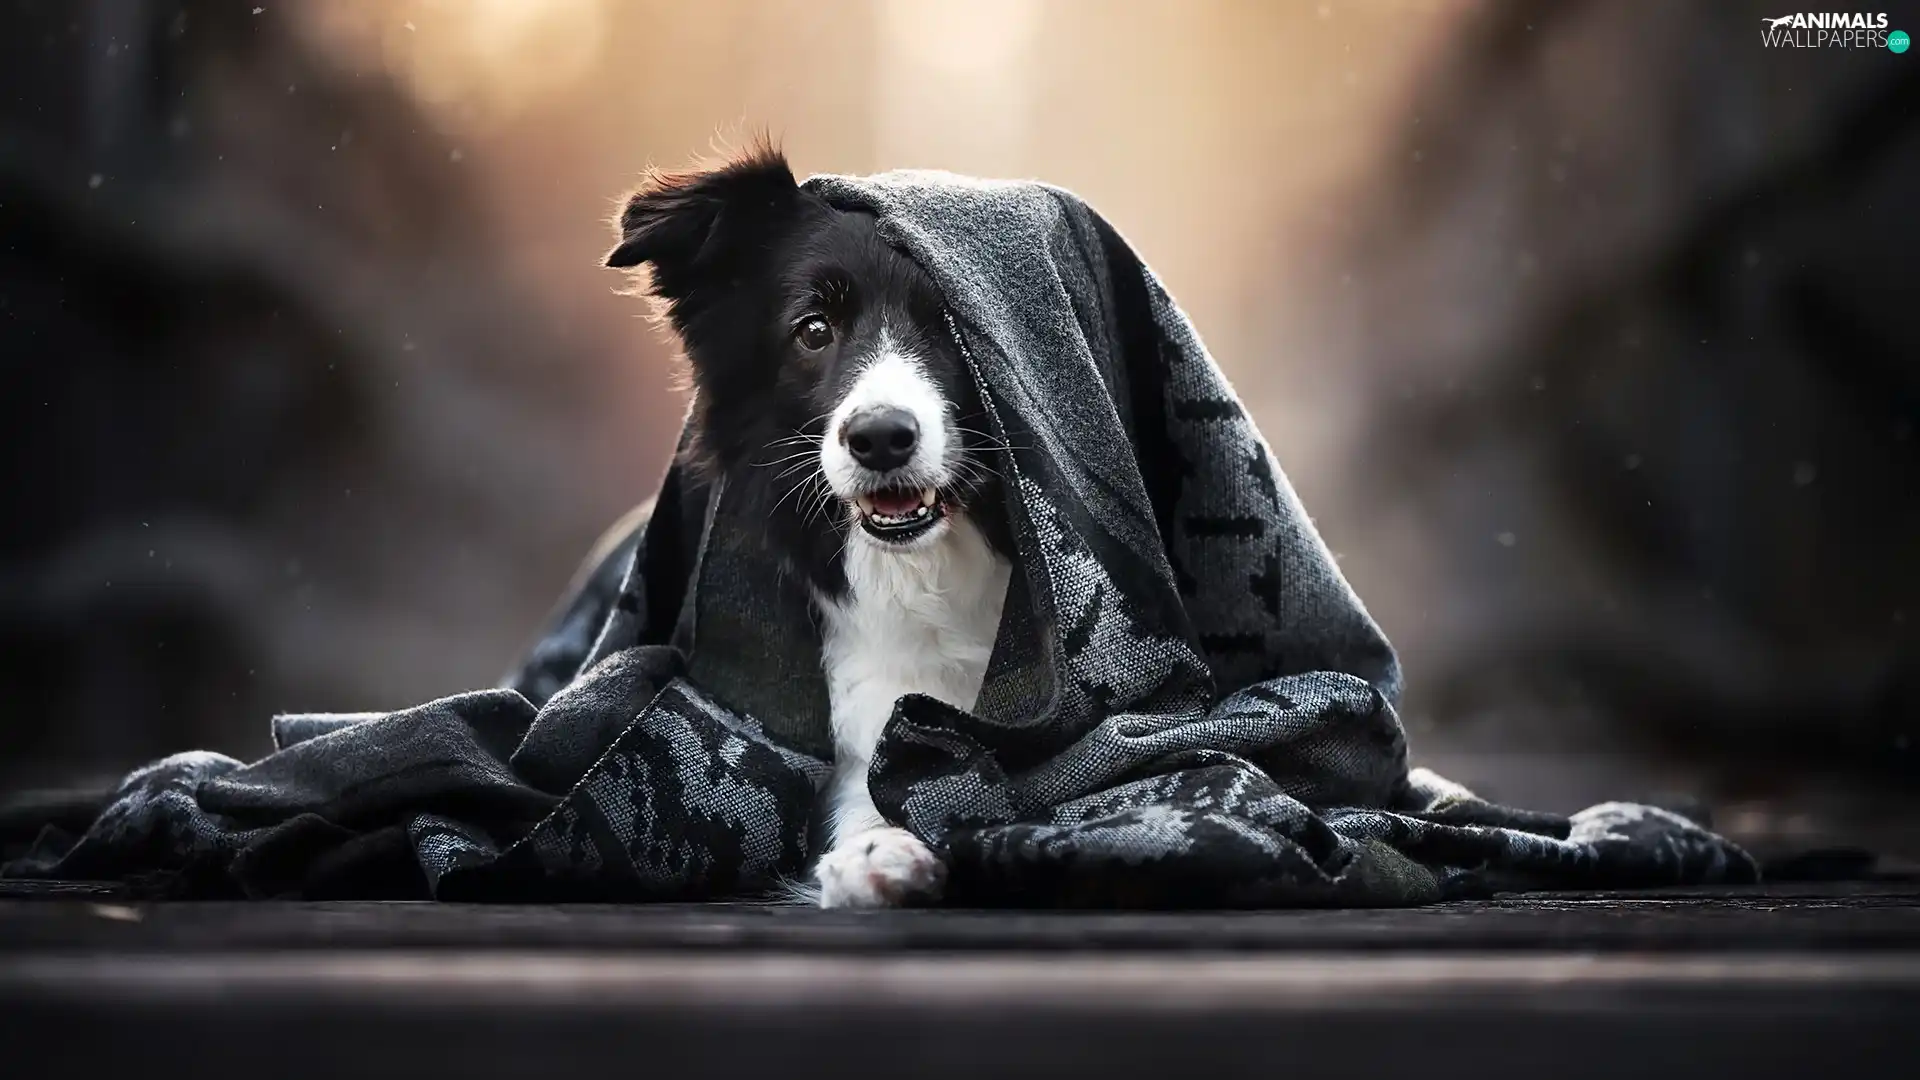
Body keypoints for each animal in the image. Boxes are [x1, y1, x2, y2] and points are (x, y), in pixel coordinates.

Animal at [606, 143, 1013, 899]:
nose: (879, 438)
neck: (930, 571)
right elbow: (862, 790)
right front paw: (878, 851)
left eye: (958, 328)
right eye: (814, 331)